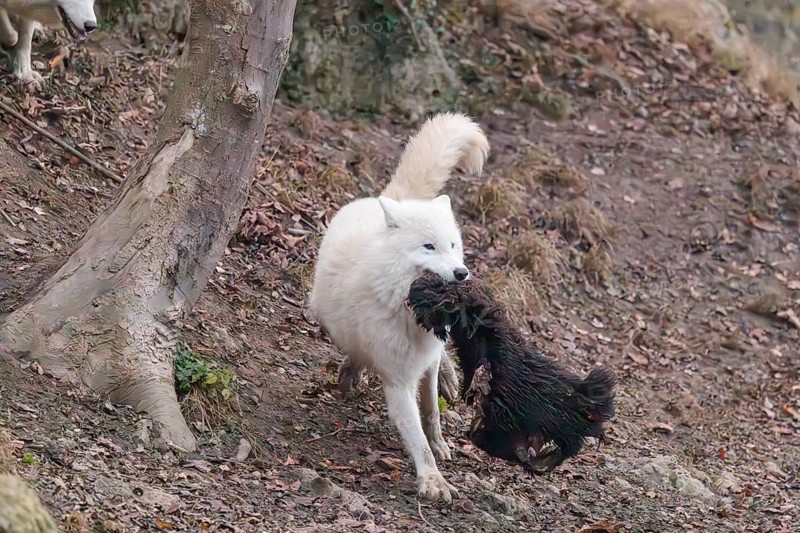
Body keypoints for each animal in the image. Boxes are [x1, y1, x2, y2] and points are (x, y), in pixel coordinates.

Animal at [309, 112, 489, 502]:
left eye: (453, 245)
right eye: (428, 247)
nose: (461, 273)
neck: (407, 313)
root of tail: (392, 200)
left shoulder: (423, 361)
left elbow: (431, 412)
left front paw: (439, 446)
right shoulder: (397, 379)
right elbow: (415, 433)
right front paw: (432, 479)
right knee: (353, 350)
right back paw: (352, 371)